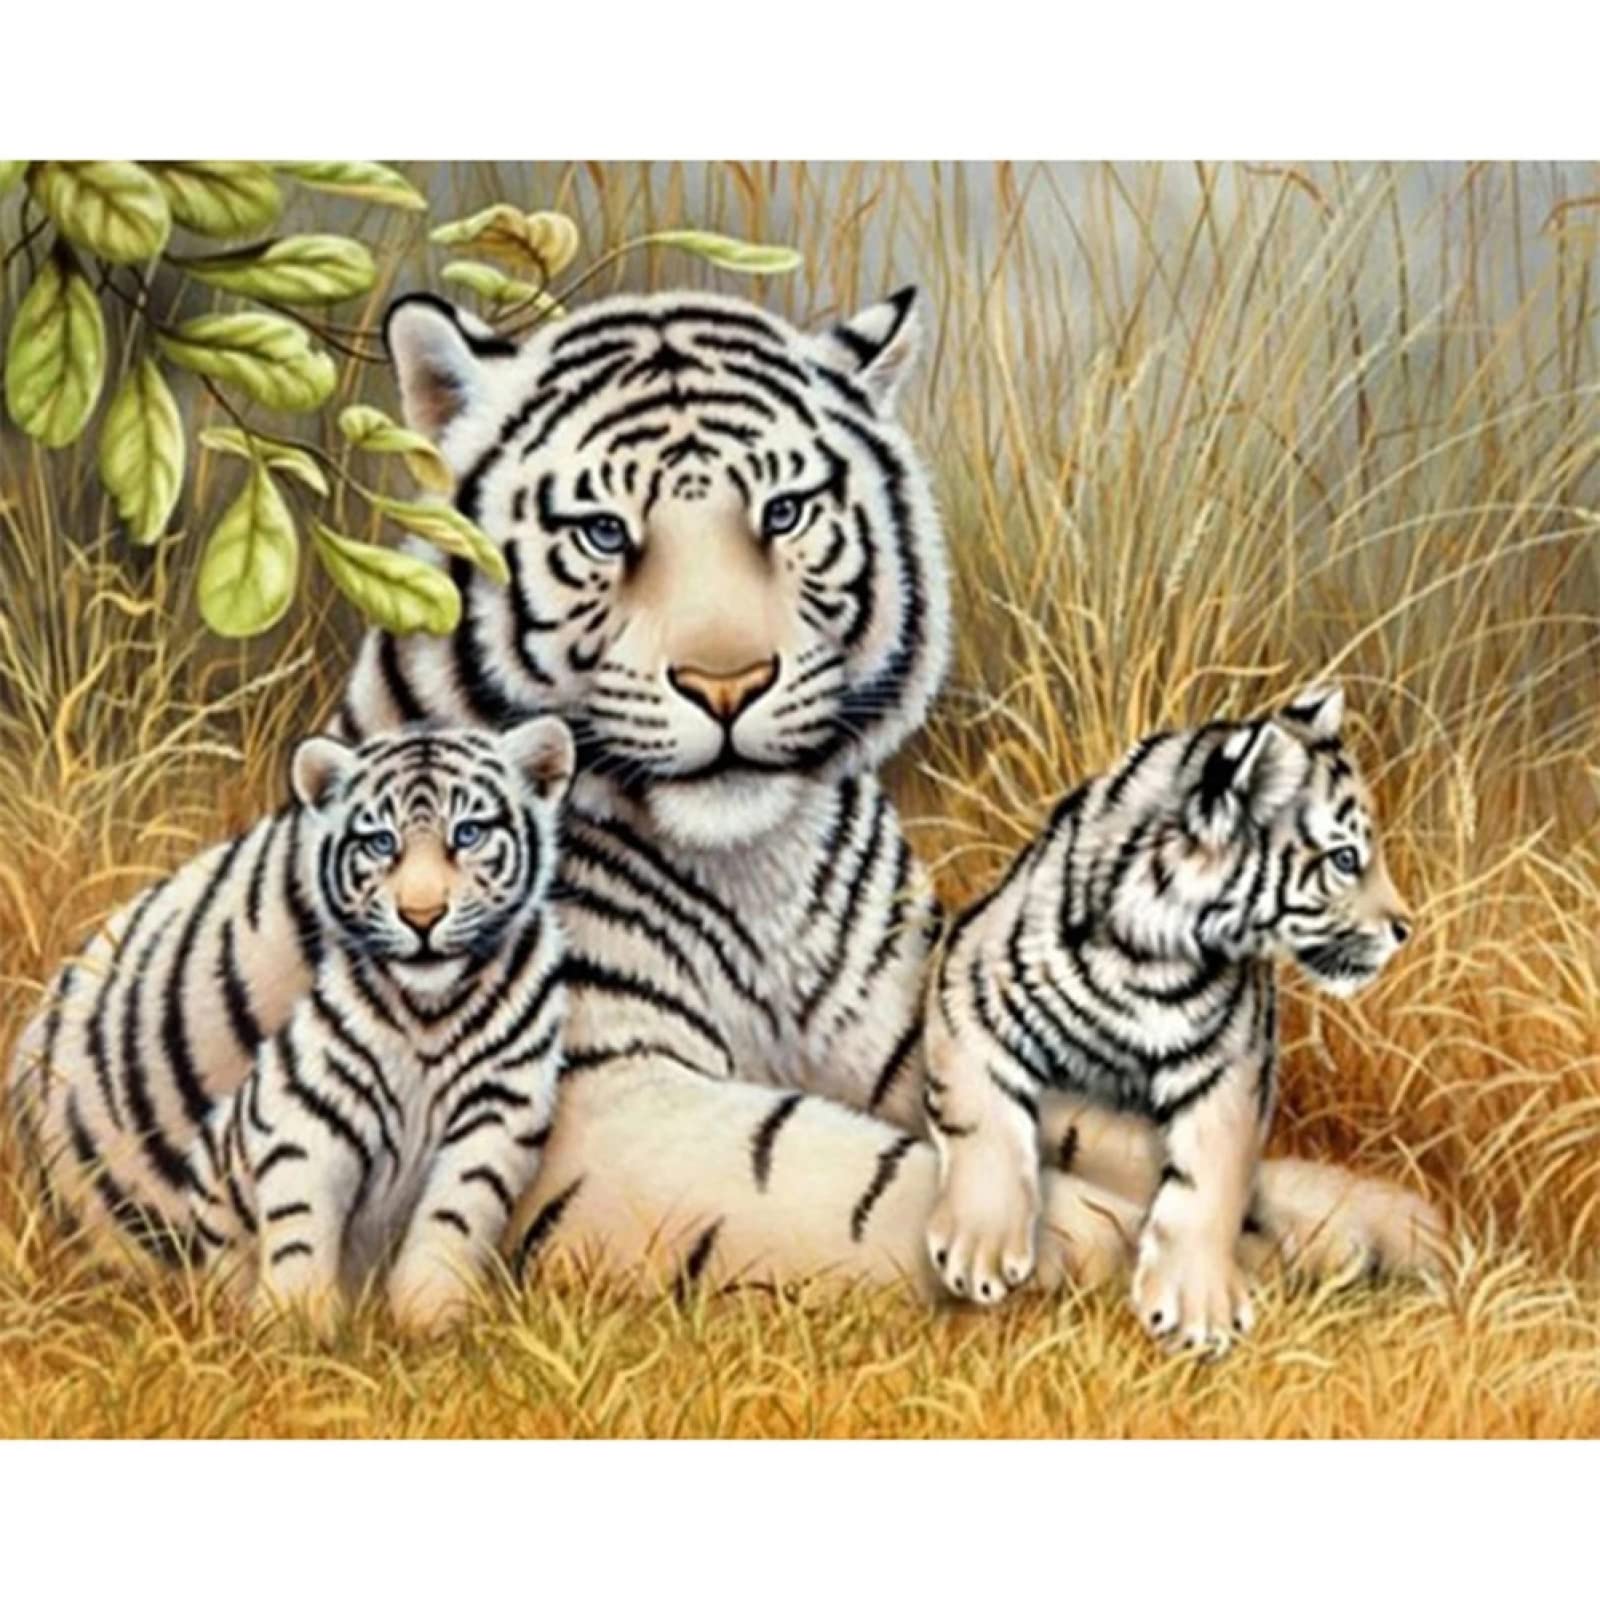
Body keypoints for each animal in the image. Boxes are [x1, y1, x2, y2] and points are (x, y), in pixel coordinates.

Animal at [188, 720, 573, 1339]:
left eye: (467, 834)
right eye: (381, 843)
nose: (421, 917)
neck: (429, 1011)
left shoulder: (498, 1109)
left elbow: (455, 1213)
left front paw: (432, 1317)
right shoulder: (307, 1111)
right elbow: (299, 1223)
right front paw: (295, 1323)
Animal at [923, 683, 1432, 1351]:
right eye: (1346, 859)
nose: (1405, 929)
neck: (1153, 956)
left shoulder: (1234, 1065)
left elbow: (1211, 1176)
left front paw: (1198, 1308)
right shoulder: (968, 981)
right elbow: (981, 1113)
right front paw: (978, 1247)